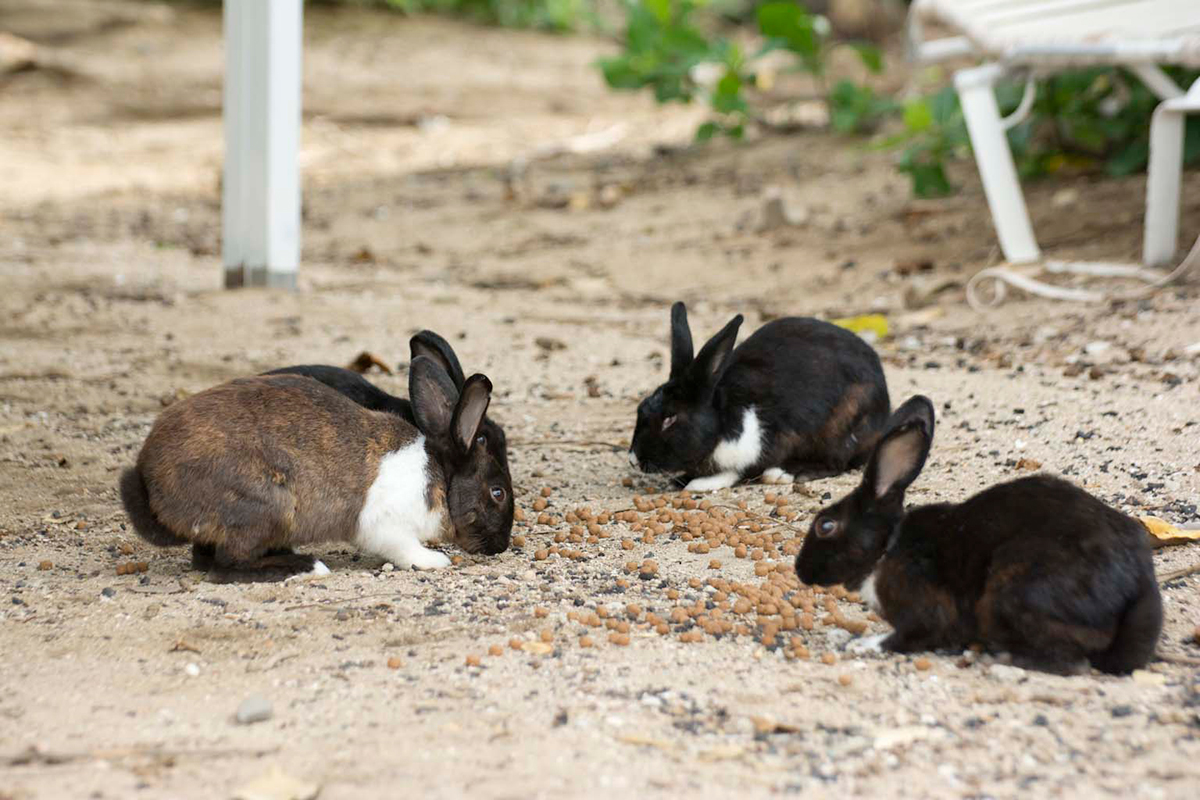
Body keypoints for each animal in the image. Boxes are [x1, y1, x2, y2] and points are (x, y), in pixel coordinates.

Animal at [119, 357, 513, 575]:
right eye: (498, 492)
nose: (500, 546)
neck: (439, 478)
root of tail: (150, 481)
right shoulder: (386, 526)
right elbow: (404, 549)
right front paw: (434, 562)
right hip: (267, 505)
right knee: (226, 563)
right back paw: (307, 567)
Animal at [796, 398, 1161, 671]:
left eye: (826, 526)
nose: (800, 570)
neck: (888, 546)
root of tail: (1133, 592)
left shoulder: (925, 613)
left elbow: (910, 636)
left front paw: (864, 644)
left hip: (1015, 591)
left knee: (1070, 662)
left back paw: (1001, 659)